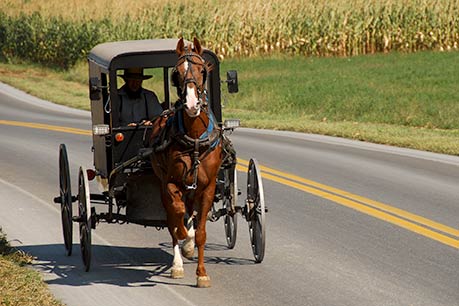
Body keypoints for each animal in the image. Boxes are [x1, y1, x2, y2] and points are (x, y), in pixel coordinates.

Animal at [150, 37, 222, 286]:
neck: (195, 139)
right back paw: (178, 264)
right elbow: (177, 219)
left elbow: (200, 233)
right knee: (173, 218)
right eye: (177, 74)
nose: (191, 105)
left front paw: (202, 273)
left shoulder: (208, 187)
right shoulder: (171, 183)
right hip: (163, 185)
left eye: (202, 70)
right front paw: (184, 240)